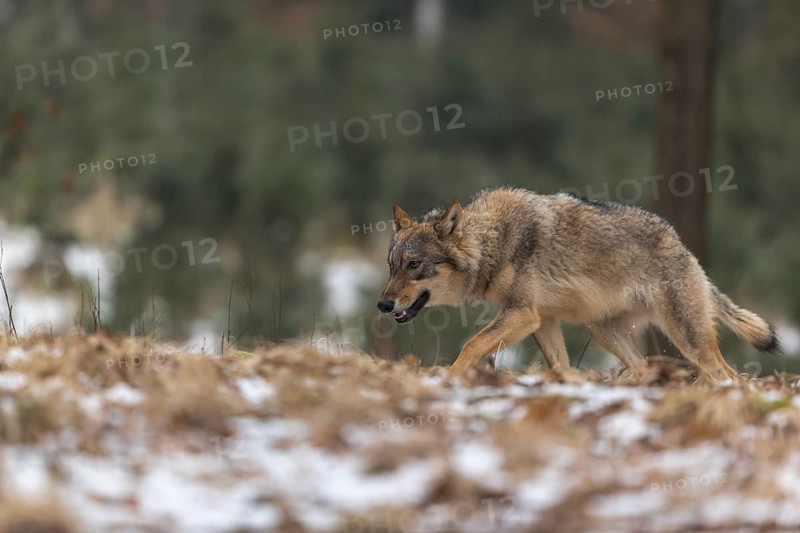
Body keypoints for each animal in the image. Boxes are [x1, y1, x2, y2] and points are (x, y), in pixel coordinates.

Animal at [377, 187, 779, 380]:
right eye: (392, 266)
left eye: (414, 265)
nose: (383, 305)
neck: (493, 242)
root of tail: (683, 246)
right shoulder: (542, 321)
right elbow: (561, 367)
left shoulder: (522, 314)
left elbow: (471, 346)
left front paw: (449, 379)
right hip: (604, 333)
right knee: (646, 370)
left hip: (687, 339)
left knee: (731, 375)